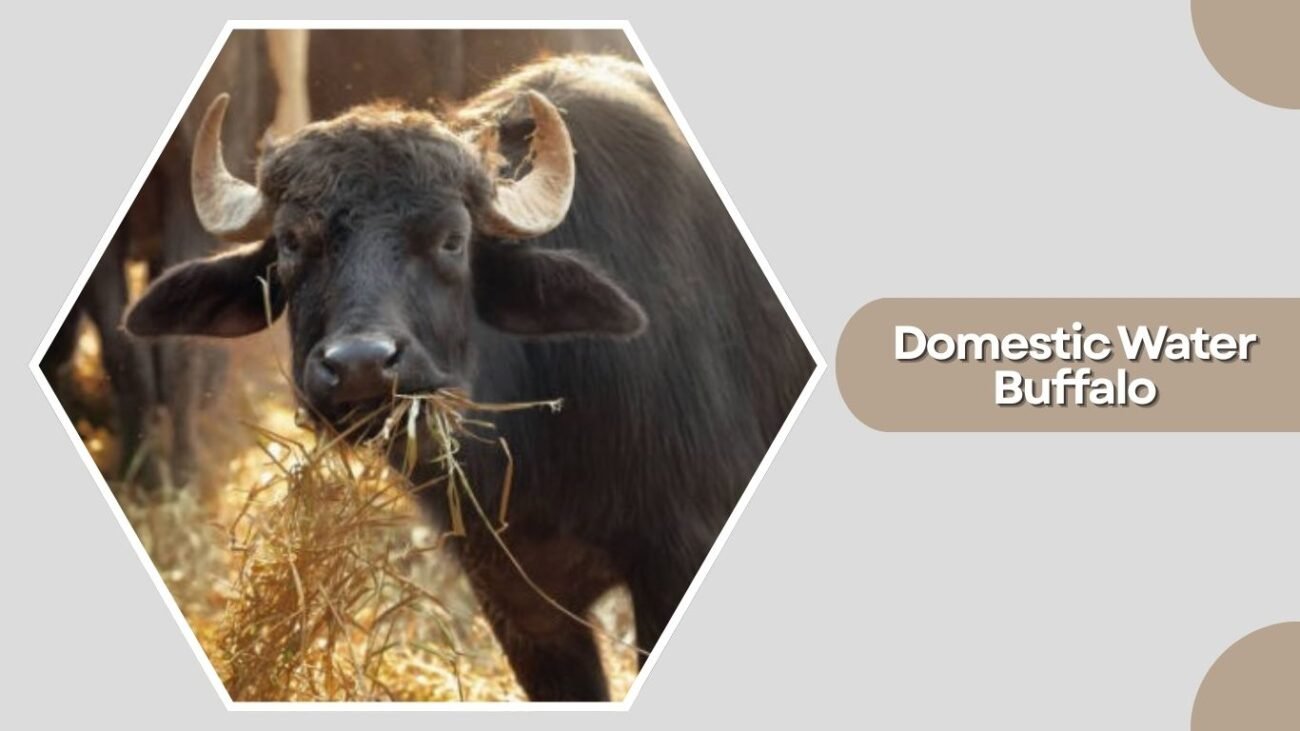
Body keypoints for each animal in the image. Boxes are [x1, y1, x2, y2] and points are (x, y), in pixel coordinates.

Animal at [127, 54, 812, 701]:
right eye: (293, 242)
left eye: (452, 241)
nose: (359, 365)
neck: (541, 458)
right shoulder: (517, 599)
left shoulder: (678, 556)